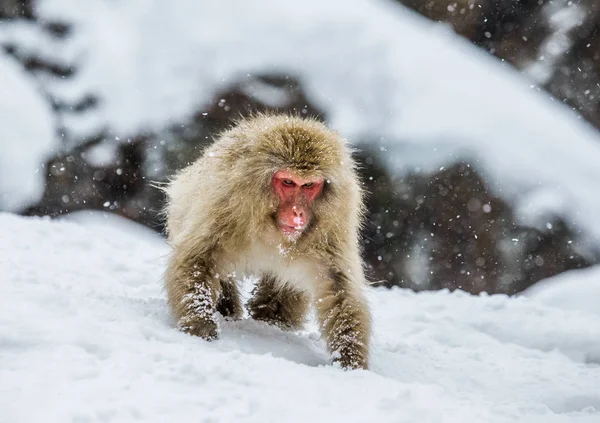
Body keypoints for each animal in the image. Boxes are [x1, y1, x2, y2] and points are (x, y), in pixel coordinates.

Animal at [164, 114, 370, 370]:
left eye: (309, 185)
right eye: (289, 182)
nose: (297, 213)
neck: (272, 228)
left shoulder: (333, 225)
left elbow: (337, 284)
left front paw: (350, 359)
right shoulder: (227, 203)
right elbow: (199, 259)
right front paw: (201, 325)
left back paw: (272, 320)